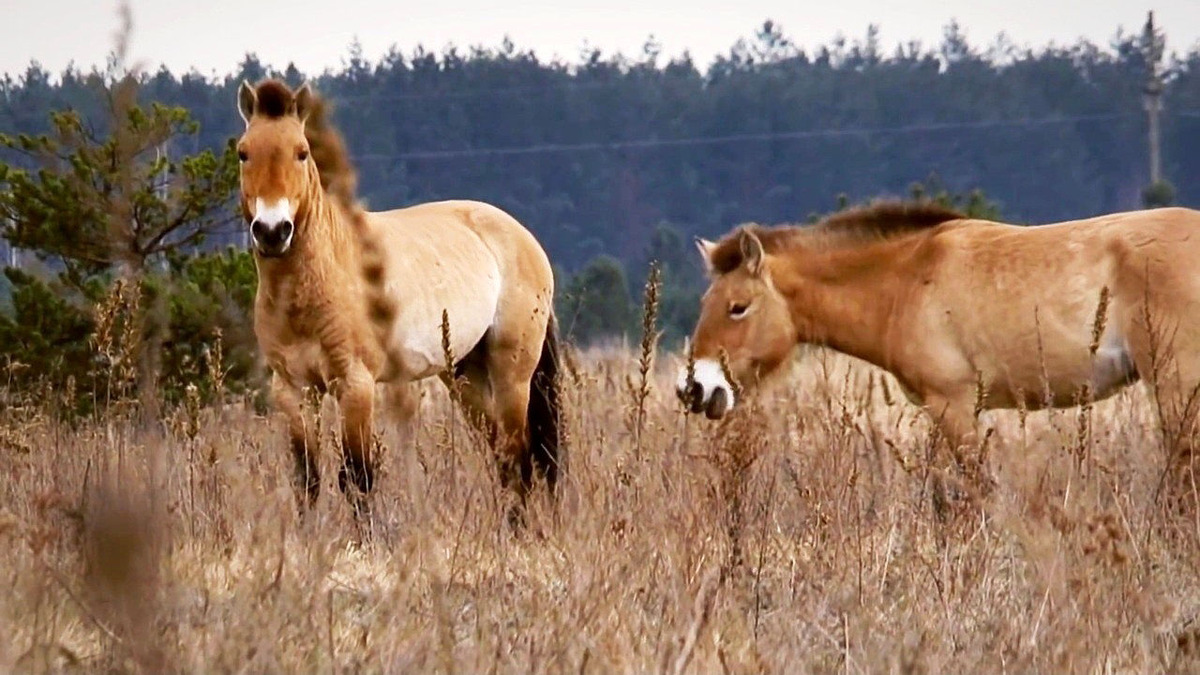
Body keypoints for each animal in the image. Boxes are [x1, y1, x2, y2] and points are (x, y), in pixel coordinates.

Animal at [234, 77, 561, 521]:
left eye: (301, 152)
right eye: (243, 153)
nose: (271, 231)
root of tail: (525, 237)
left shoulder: (355, 385)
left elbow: (357, 479)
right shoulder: (293, 391)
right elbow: (308, 481)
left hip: (512, 373)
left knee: (519, 458)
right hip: (464, 375)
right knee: (503, 459)